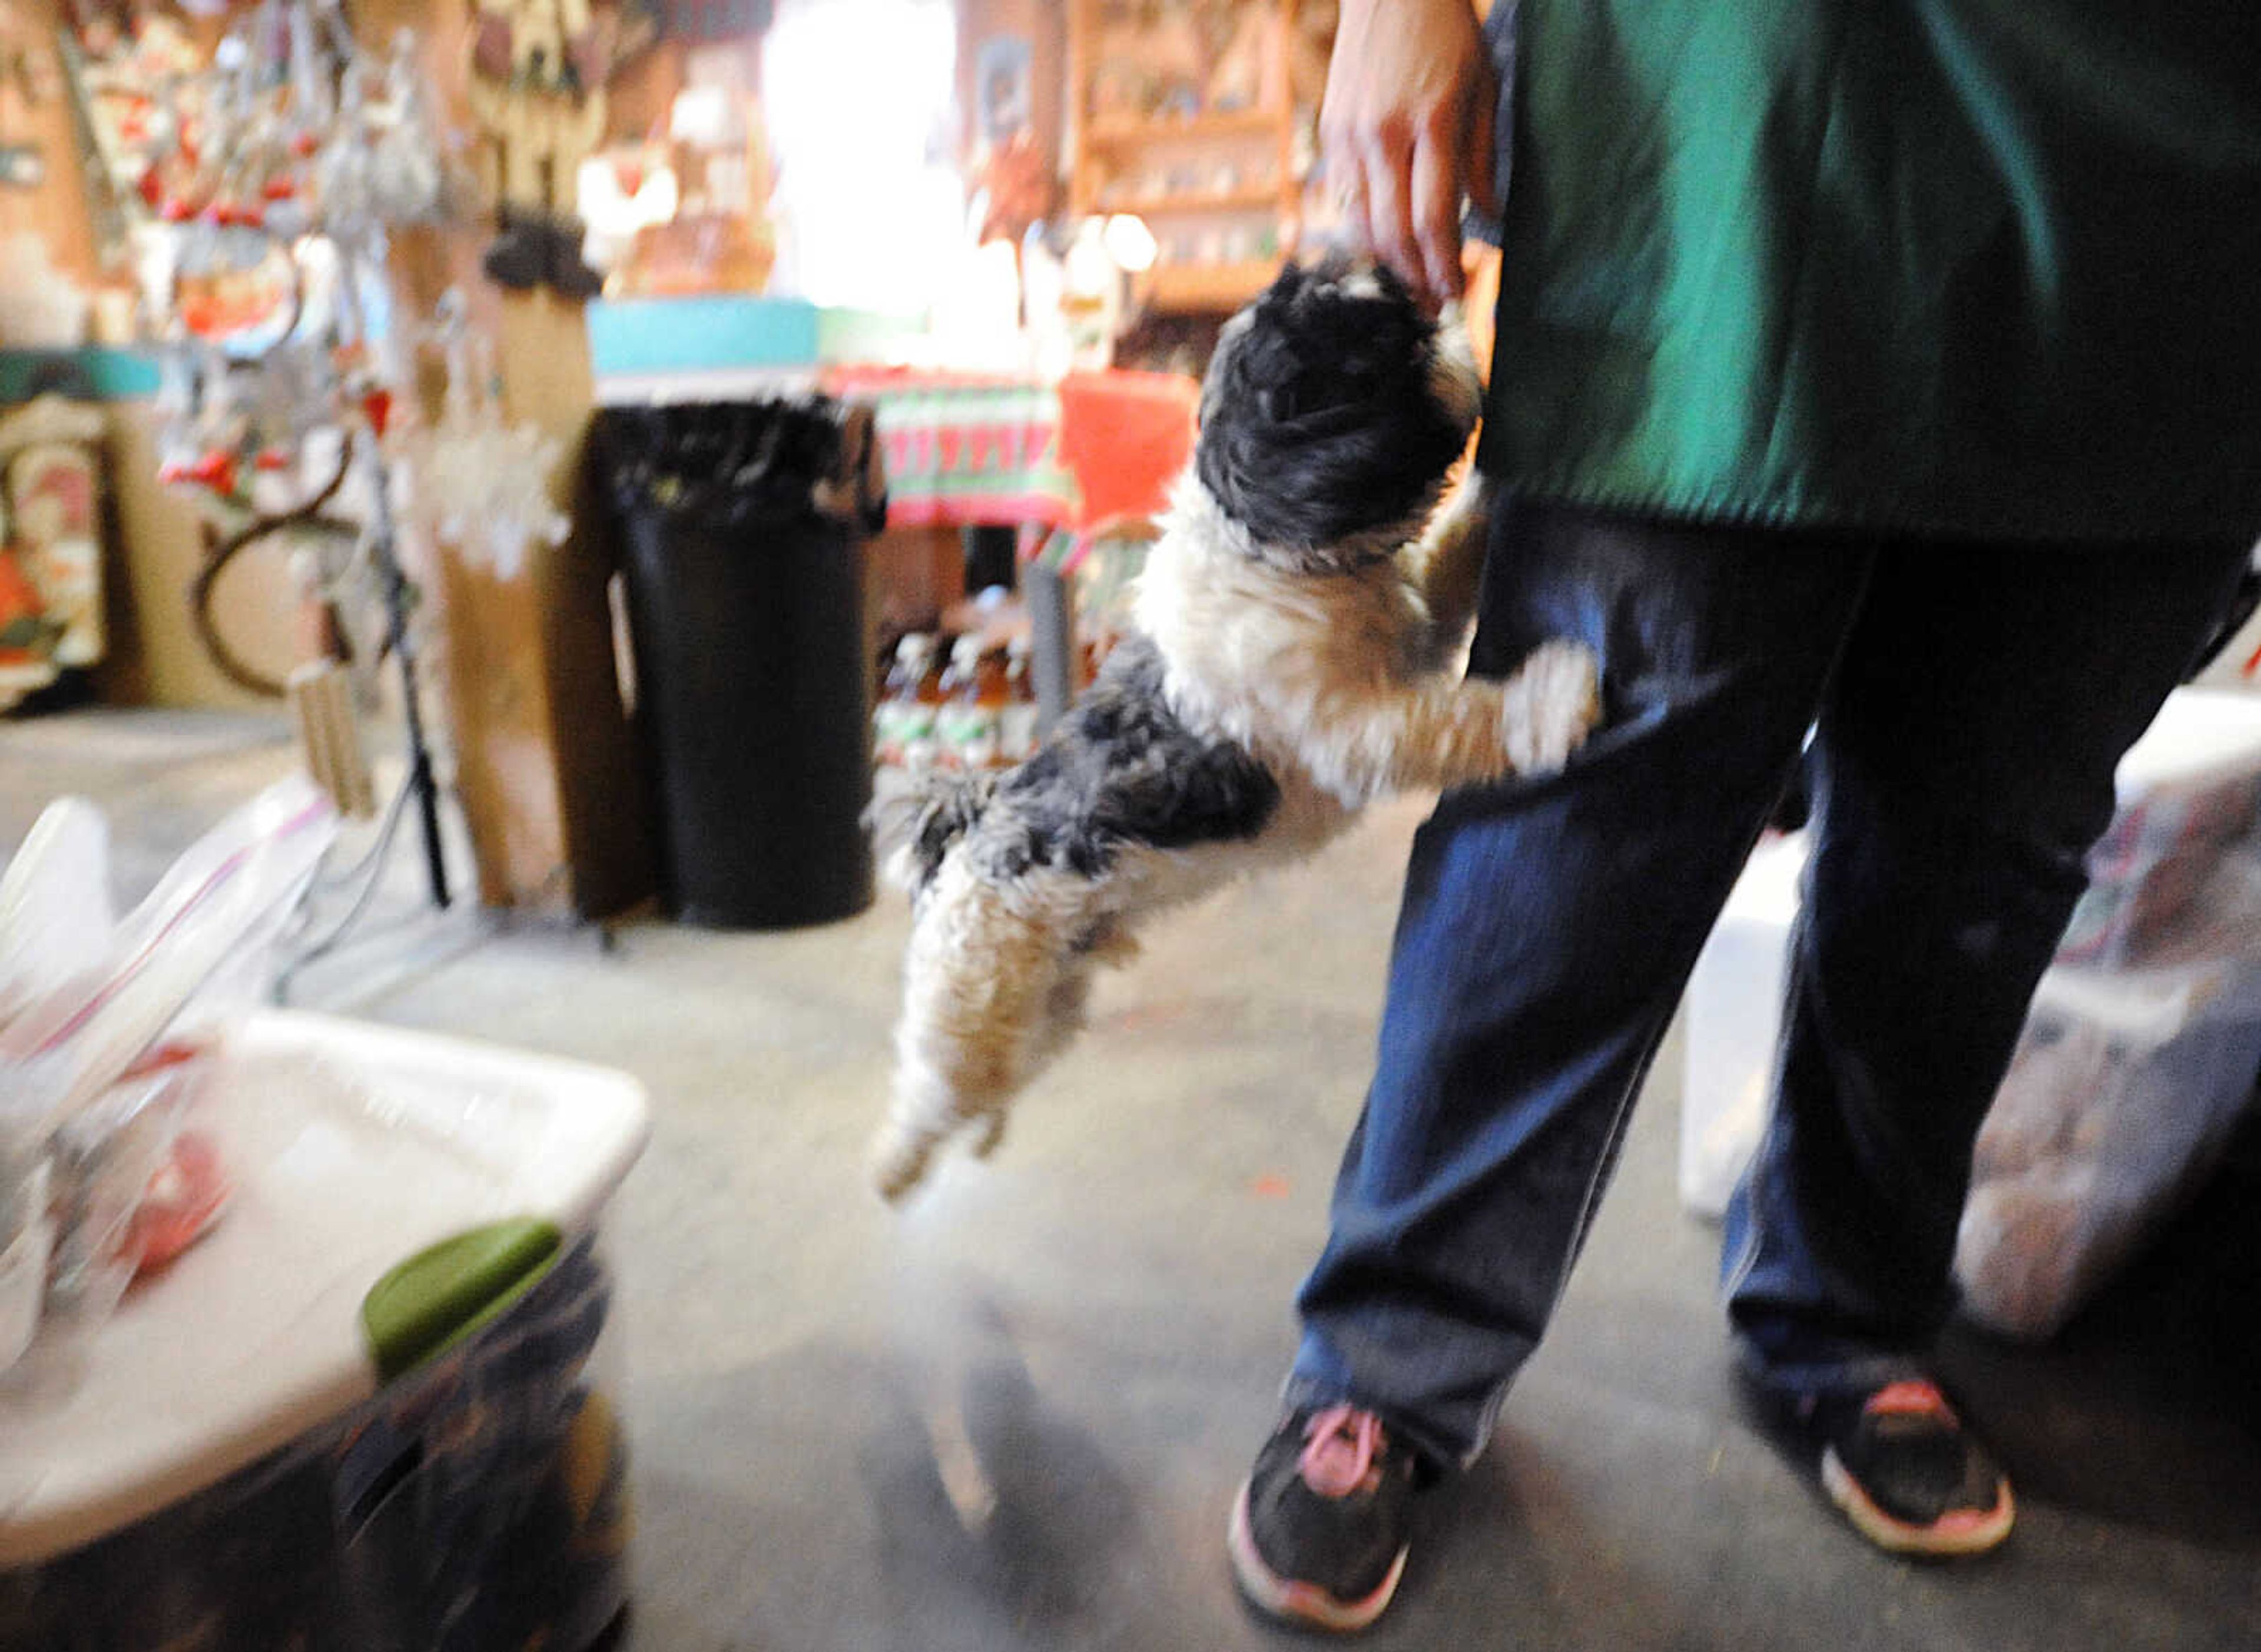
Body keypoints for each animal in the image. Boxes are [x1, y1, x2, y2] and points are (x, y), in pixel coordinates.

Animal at [868, 262, 1610, 1202]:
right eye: (1382, 348)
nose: (1444, 317)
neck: (1266, 552)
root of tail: (968, 836)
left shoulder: (1413, 639)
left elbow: (1446, 574)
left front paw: (1489, 500)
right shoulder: (1358, 730)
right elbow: (1462, 718)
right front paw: (1552, 702)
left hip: (1045, 1004)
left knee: (1001, 1078)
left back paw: (985, 1133)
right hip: (969, 1004)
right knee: (932, 1092)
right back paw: (898, 1168)